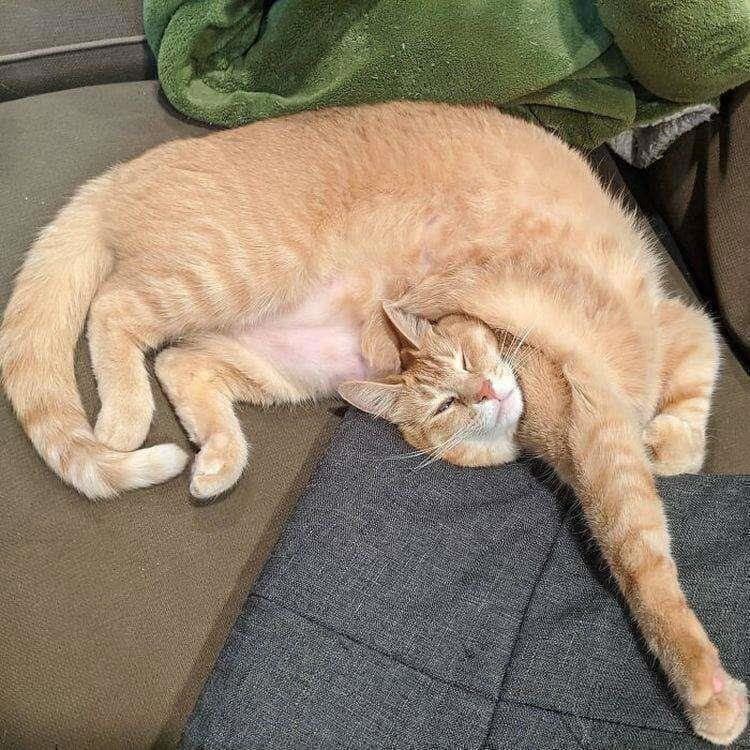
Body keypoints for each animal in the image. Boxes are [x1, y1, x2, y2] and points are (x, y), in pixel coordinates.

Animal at [0, 101, 746, 743]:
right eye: (444, 405)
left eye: (468, 358)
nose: (484, 390)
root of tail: (119, 175)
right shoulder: (592, 428)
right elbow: (640, 557)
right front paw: (706, 689)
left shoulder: (677, 324)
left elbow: (696, 373)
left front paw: (669, 440)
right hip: (225, 280)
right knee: (114, 310)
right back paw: (124, 420)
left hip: (286, 358)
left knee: (180, 360)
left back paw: (215, 460)